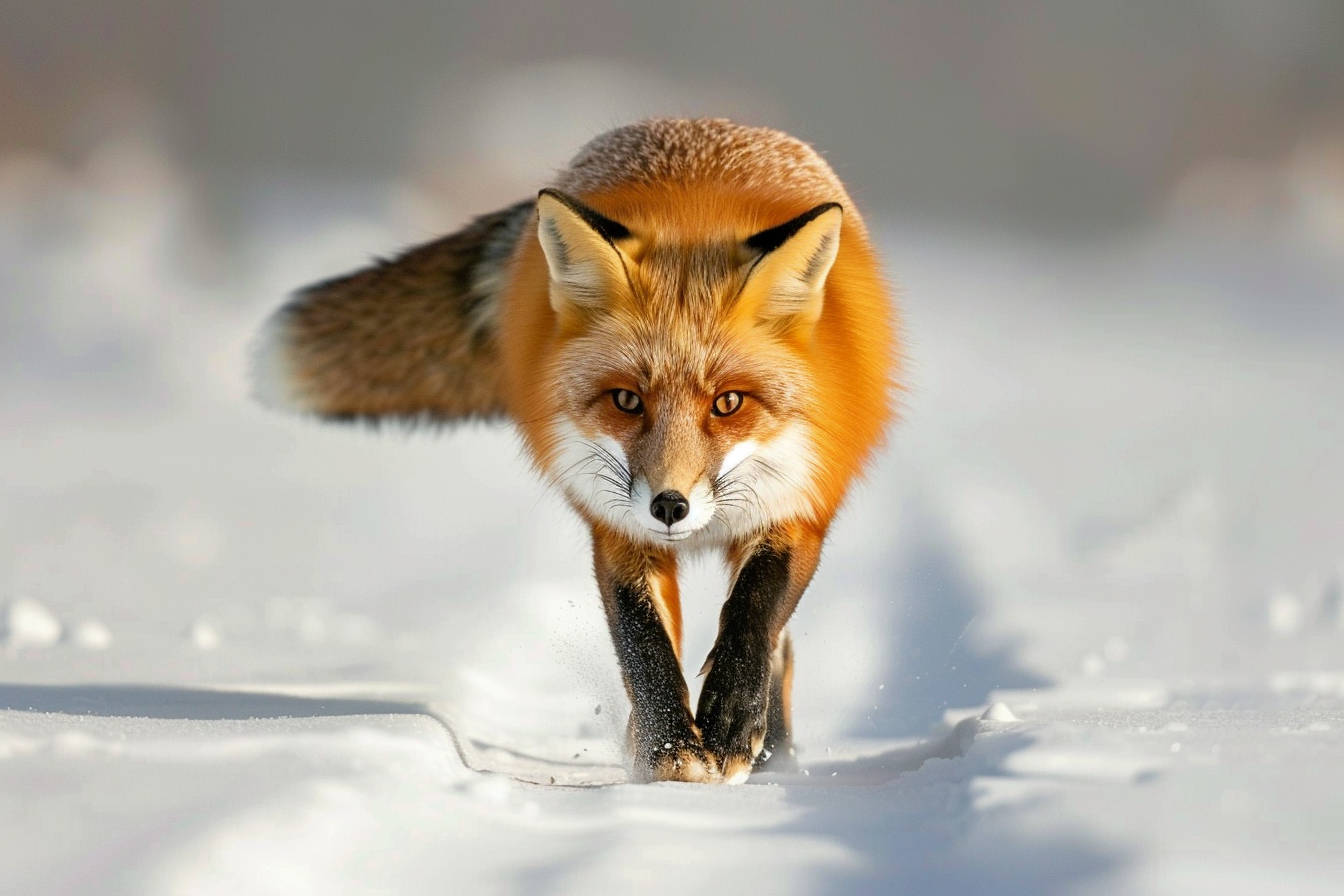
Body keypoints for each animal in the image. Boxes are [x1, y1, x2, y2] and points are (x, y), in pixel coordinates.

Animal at [253, 118, 899, 784]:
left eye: (728, 403)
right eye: (626, 400)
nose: (670, 507)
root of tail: (696, 125)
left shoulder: (797, 507)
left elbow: (754, 616)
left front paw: (727, 725)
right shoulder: (617, 528)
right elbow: (642, 641)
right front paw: (668, 748)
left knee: (778, 643)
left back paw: (773, 752)